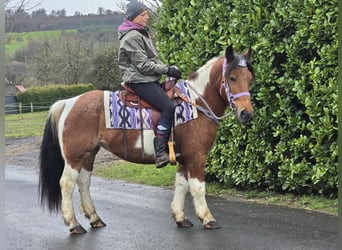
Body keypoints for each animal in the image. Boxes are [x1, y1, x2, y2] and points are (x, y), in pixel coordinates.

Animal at [38, 44, 254, 233]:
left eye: (250, 78)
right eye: (232, 77)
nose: (246, 113)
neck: (196, 103)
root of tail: (68, 102)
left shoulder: (184, 158)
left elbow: (181, 186)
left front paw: (180, 217)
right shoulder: (196, 156)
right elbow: (198, 188)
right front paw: (208, 219)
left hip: (89, 154)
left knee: (83, 182)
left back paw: (94, 218)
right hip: (74, 157)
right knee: (66, 184)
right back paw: (74, 224)